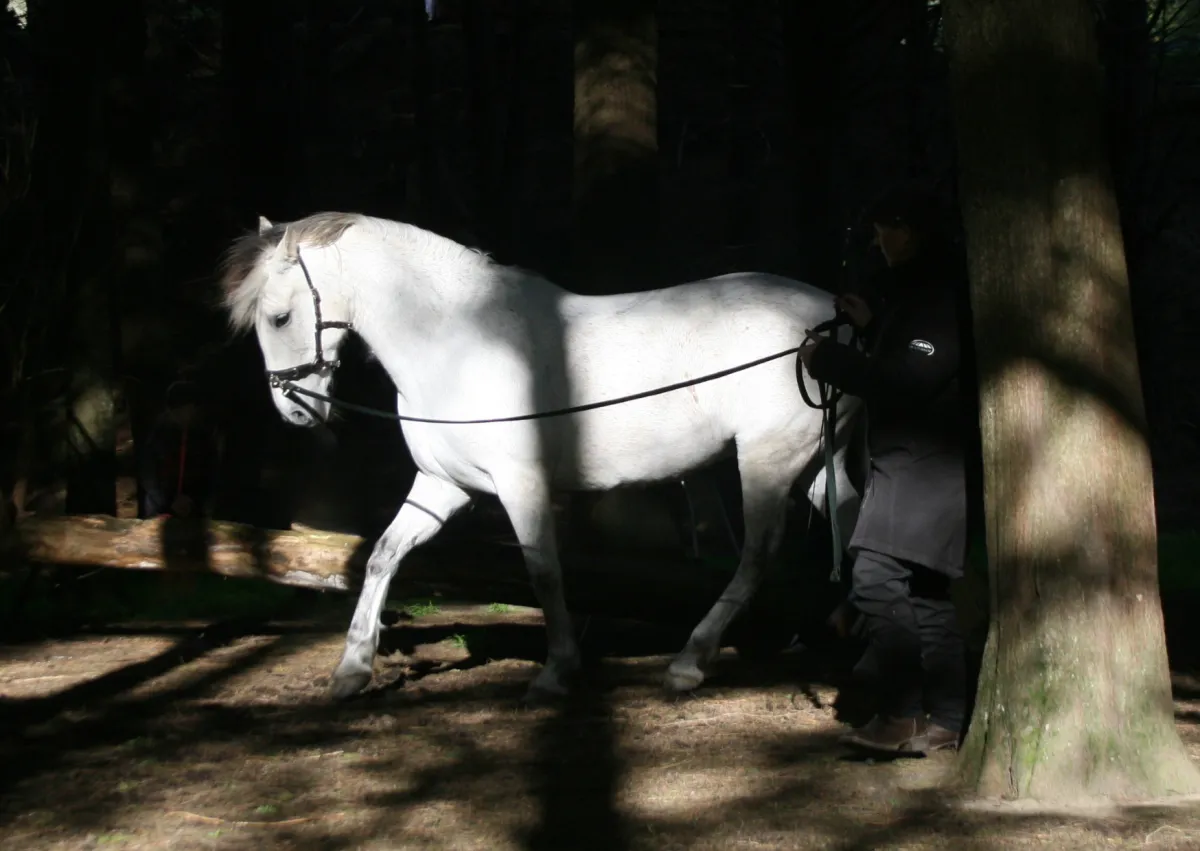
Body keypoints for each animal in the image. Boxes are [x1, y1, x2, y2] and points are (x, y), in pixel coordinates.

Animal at [219, 212, 862, 703]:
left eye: (279, 317)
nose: (294, 411)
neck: (457, 345)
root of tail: (836, 321)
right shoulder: (441, 485)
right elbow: (382, 556)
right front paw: (352, 669)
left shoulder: (520, 484)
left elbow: (544, 570)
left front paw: (557, 672)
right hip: (815, 464)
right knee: (850, 525)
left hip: (767, 461)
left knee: (758, 556)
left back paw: (689, 661)